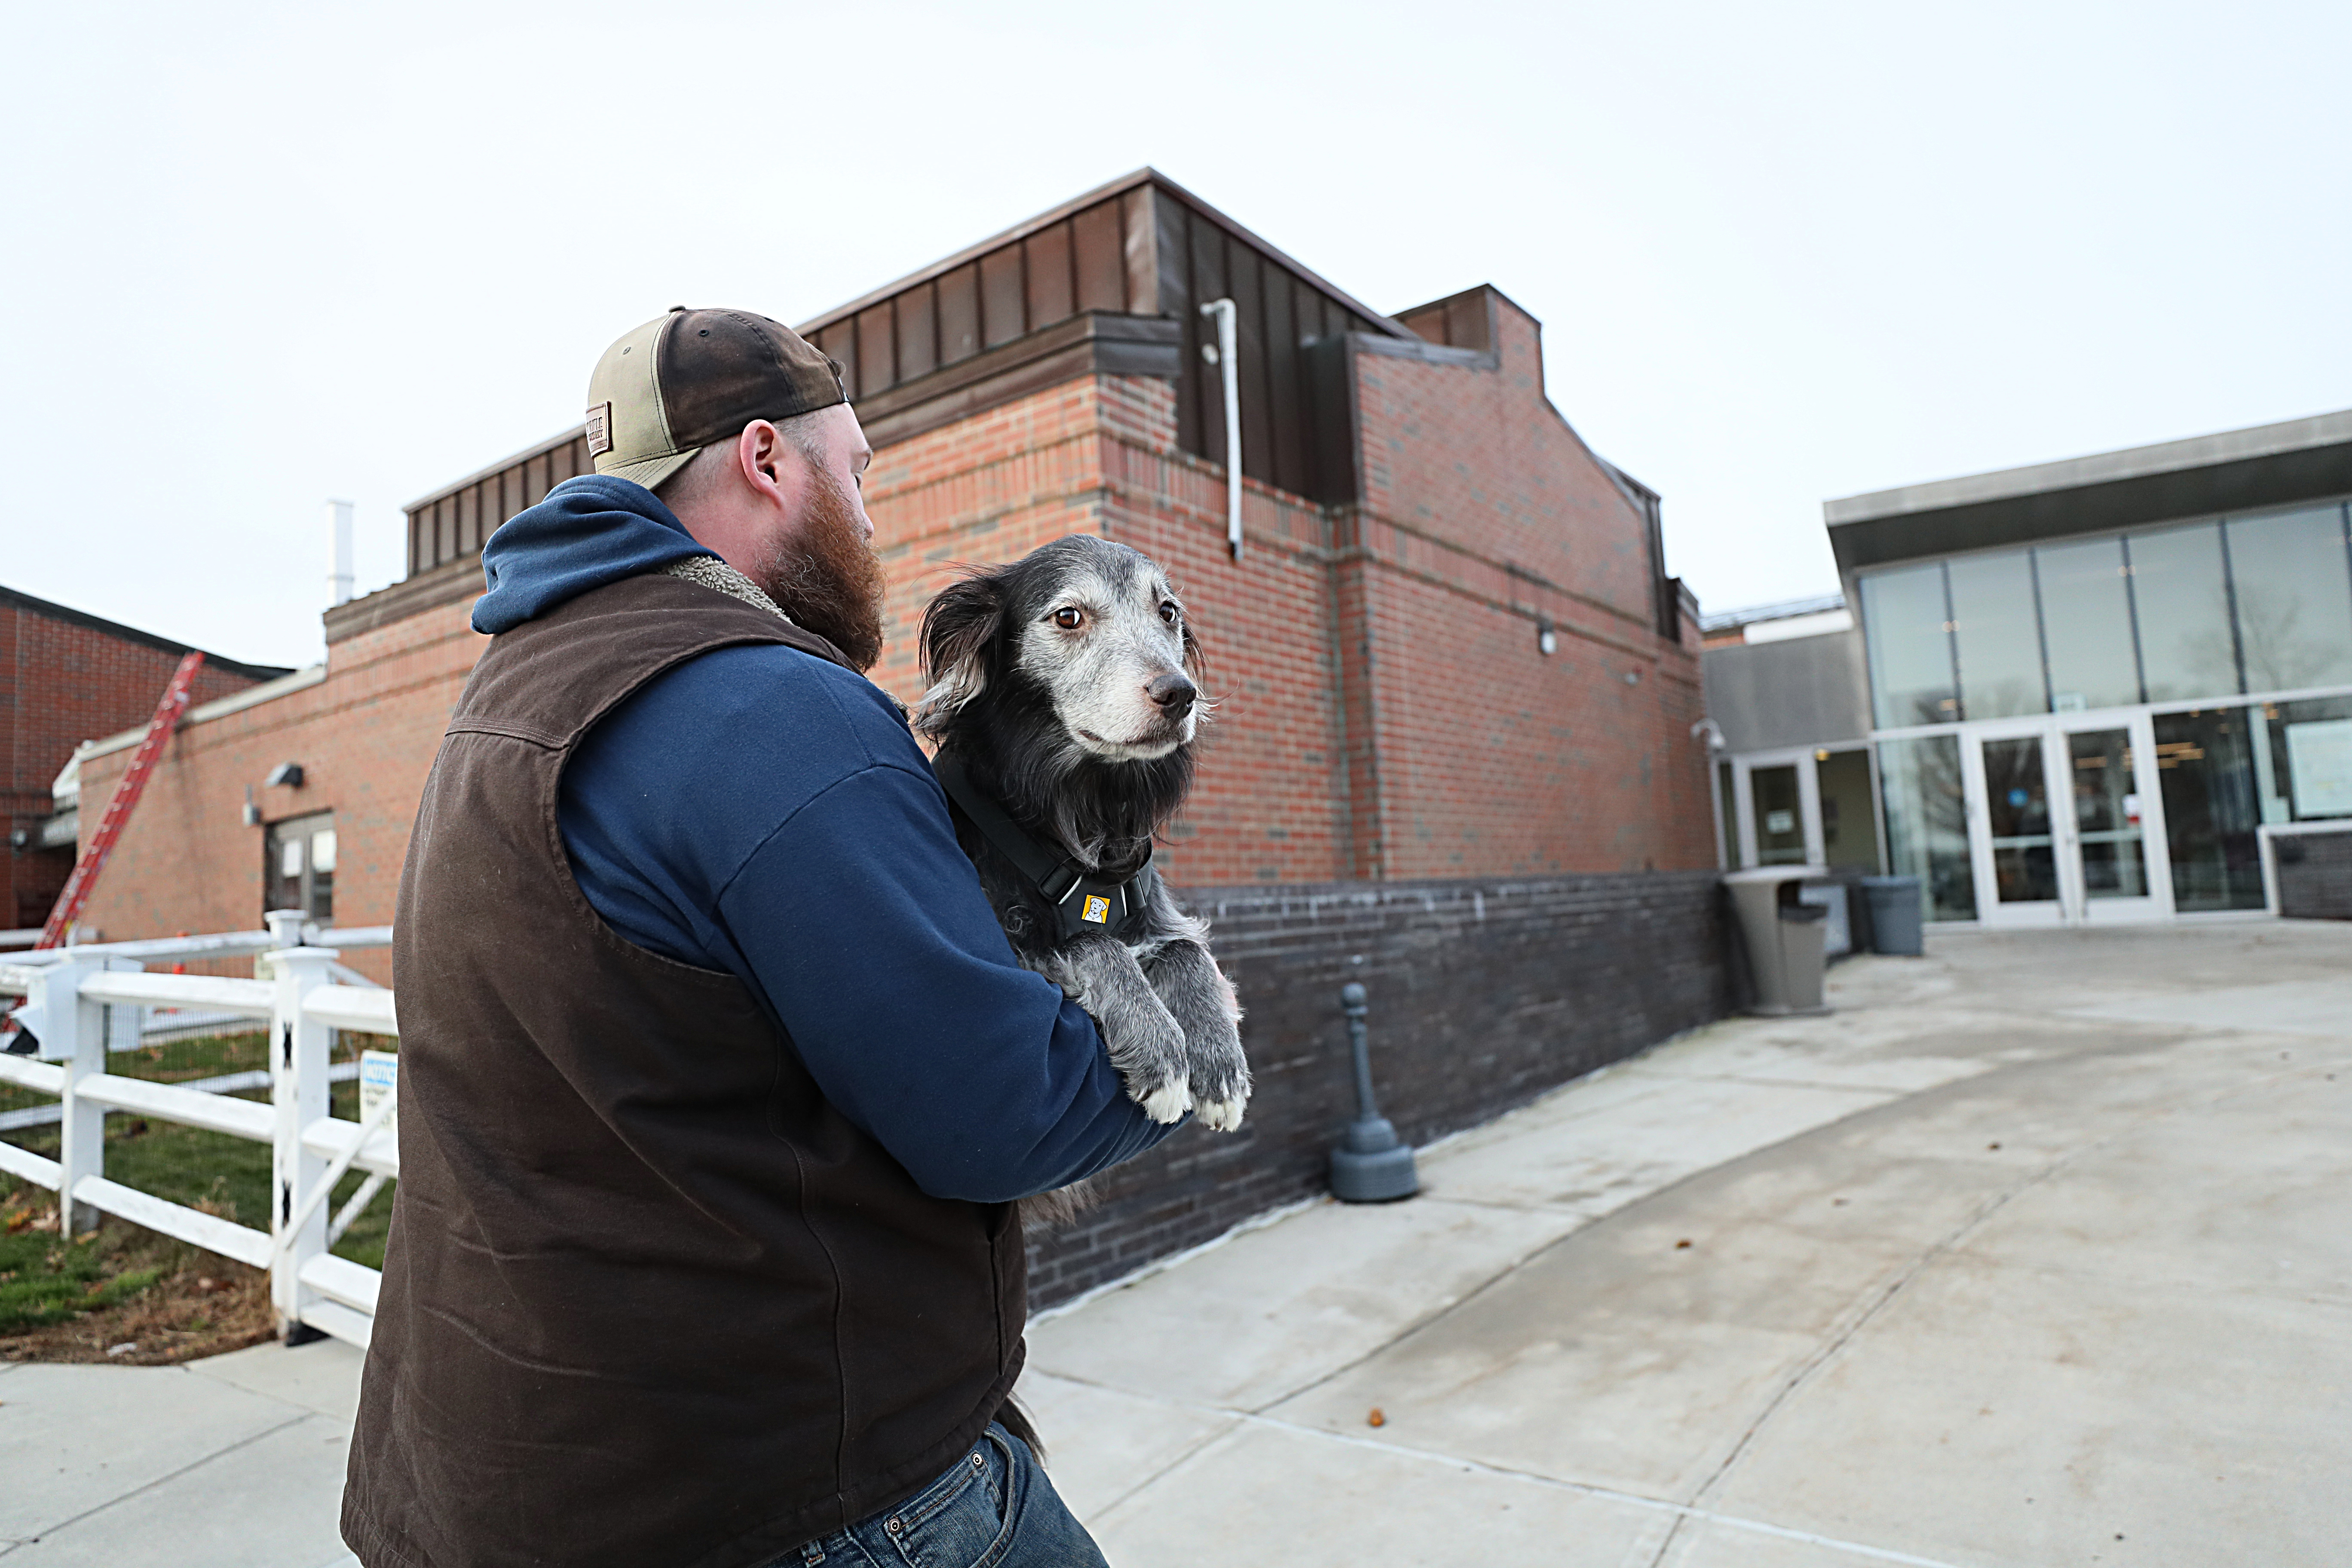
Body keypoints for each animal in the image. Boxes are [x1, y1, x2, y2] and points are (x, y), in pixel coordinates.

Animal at [913, 533, 1251, 1133]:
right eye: (1068, 616)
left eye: (1168, 612)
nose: (1180, 693)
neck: (1084, 808)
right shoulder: (1020, 949)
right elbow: (1093, 943)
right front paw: (1161, 1054)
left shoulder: (1156, 913)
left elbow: (1186, 950)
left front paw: (1220, 1061)